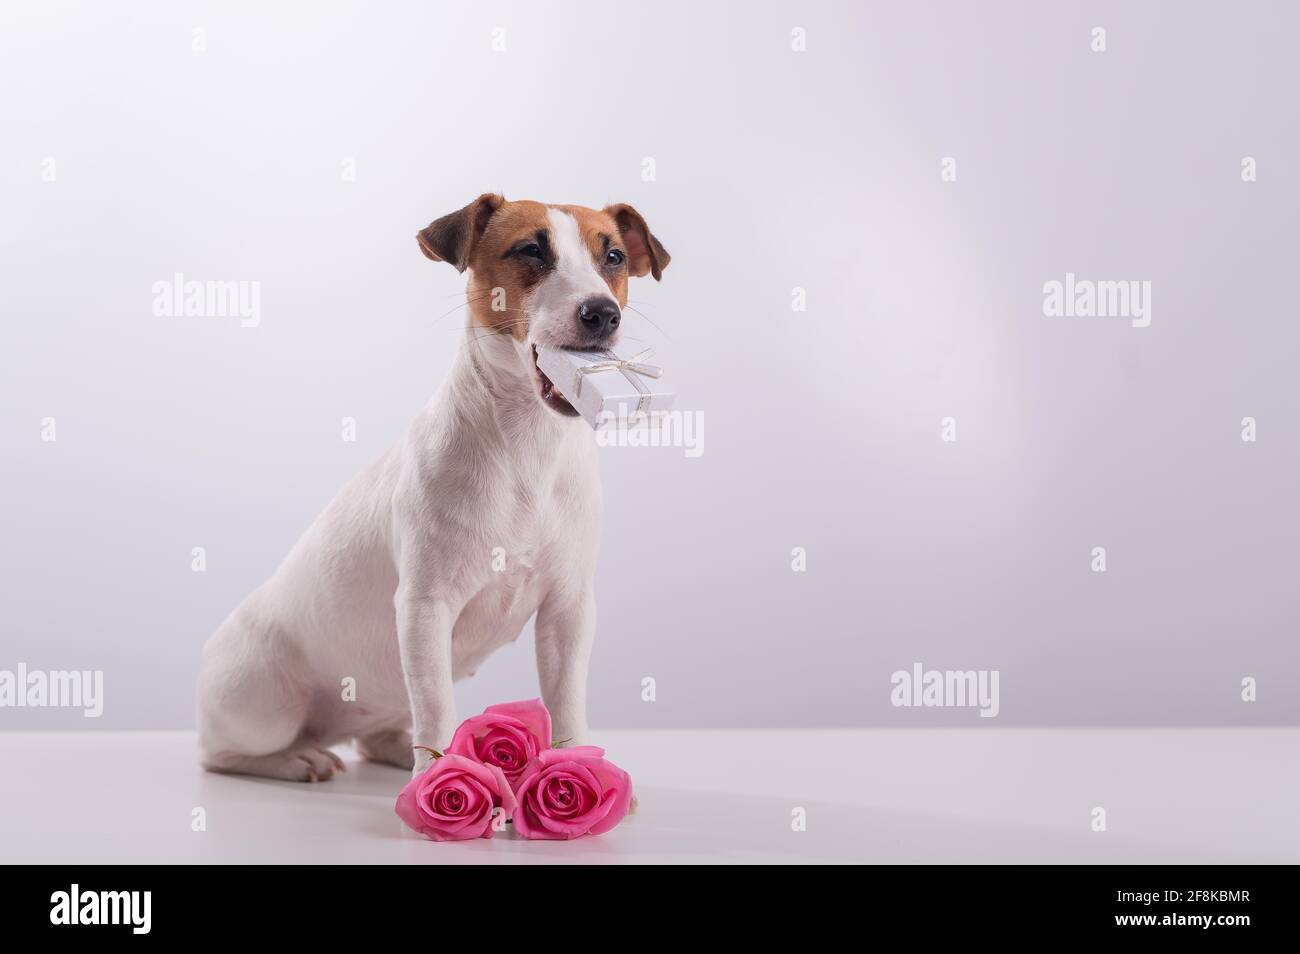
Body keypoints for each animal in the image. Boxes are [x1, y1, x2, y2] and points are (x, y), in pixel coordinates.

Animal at [197, 196, 676, 785]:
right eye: (531, 250)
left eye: (612, 257)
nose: (602, 313)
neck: (527, 448)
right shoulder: (426, 608)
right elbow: (435, 705)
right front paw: (437, 780)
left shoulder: (568, 611)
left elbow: (566, 701)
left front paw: (574, 766)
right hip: (265, 706)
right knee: (220, 752)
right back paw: (296, 759)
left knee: (375, 731)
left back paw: (391, 747)